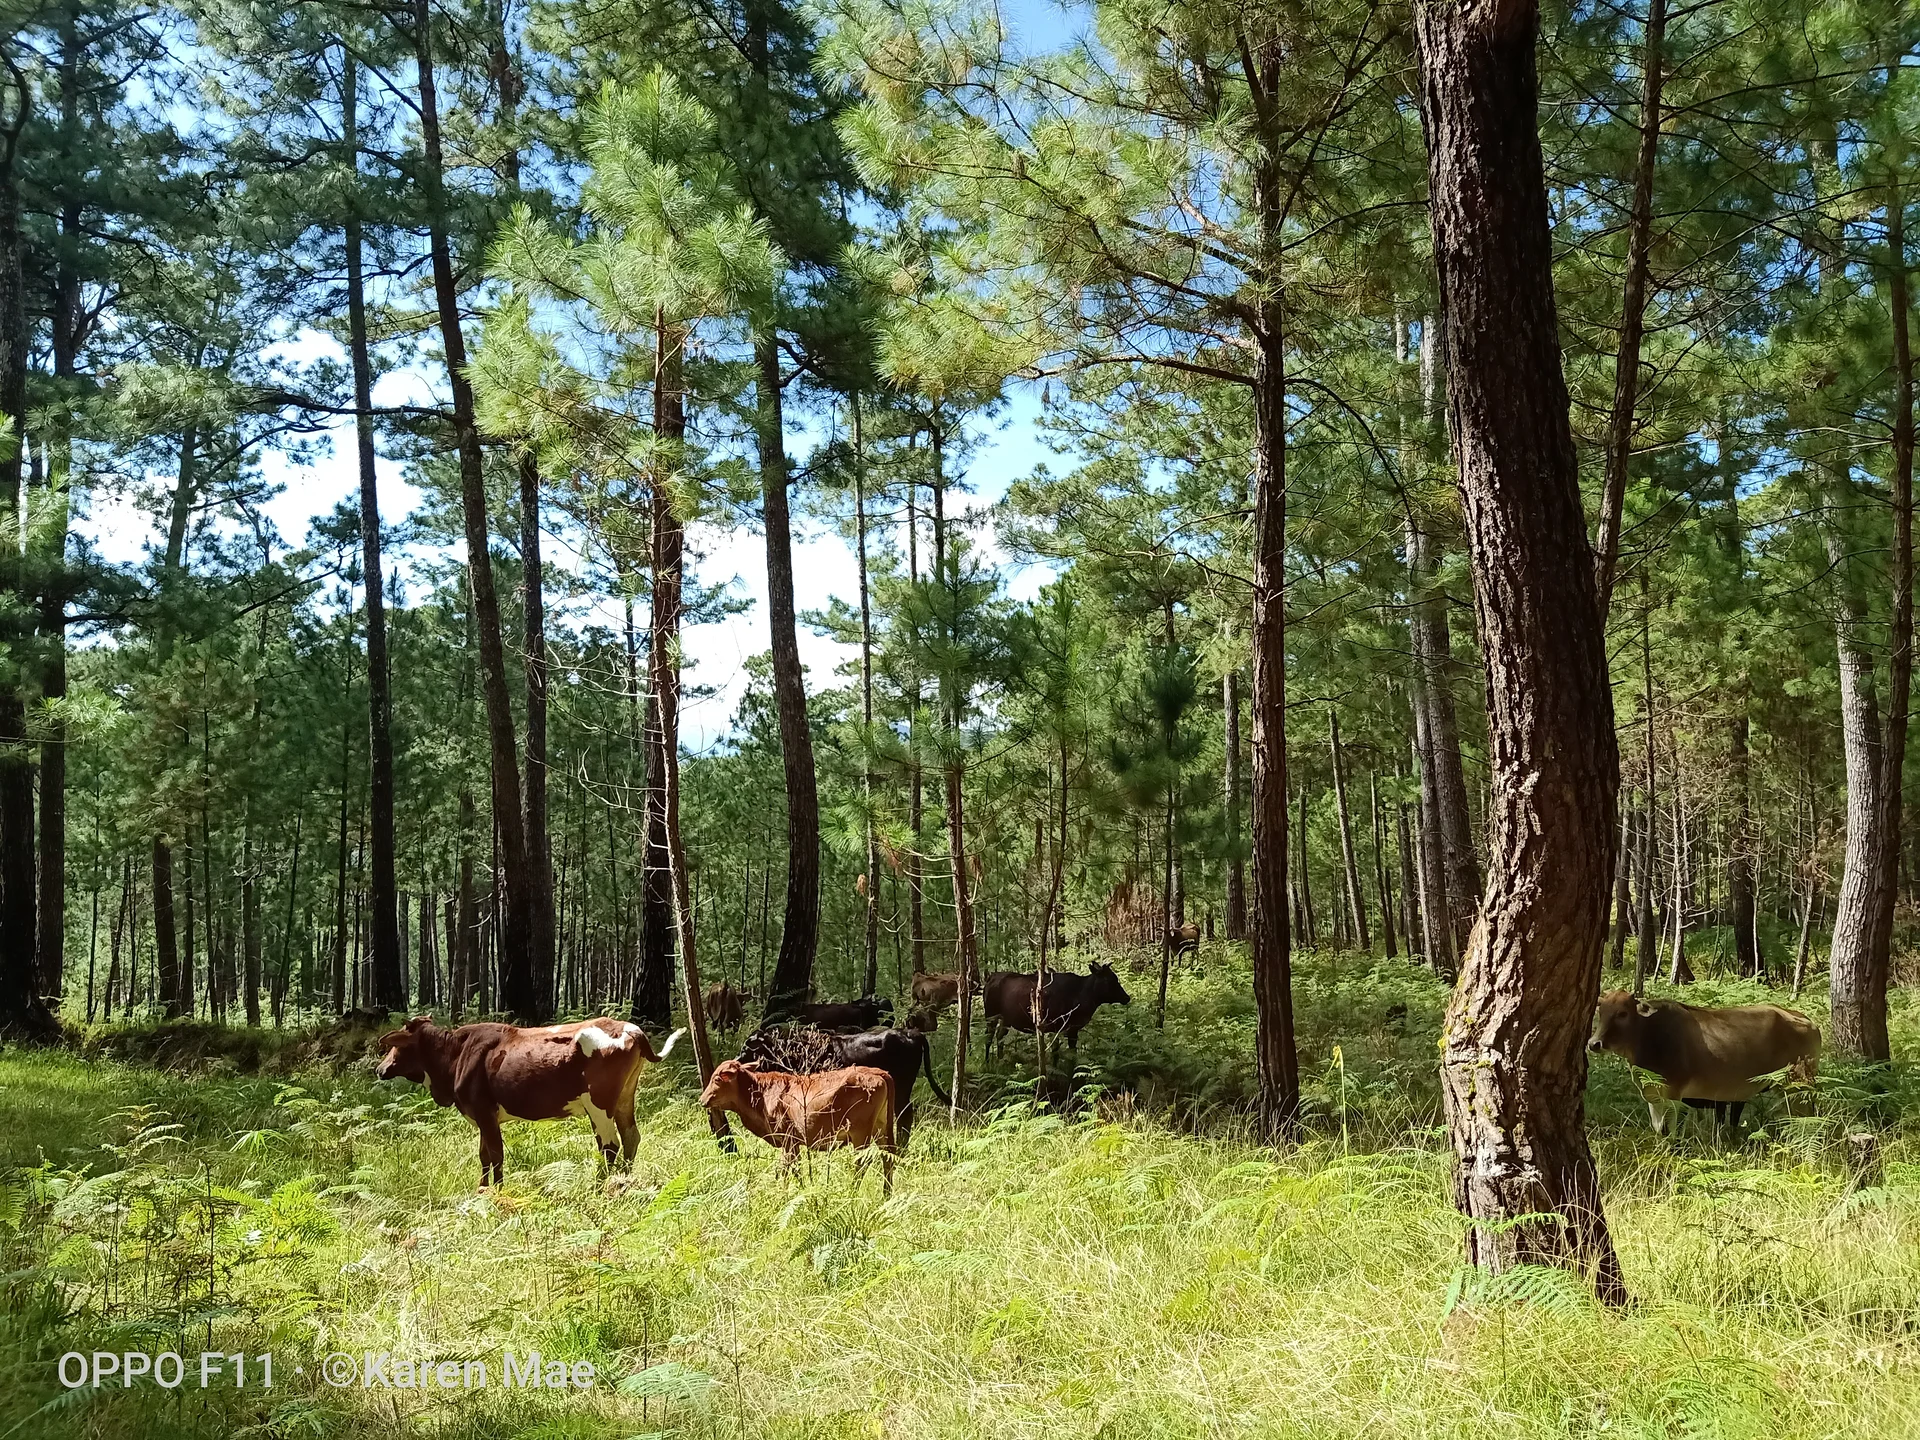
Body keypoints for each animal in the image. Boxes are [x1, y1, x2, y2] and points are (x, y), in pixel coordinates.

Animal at [375, 1016, 684, 1185]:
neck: (454, 1056)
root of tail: (629, 1028)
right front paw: (481, 1190)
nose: (380, 1068)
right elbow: (484, 1155)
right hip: (623, 1098)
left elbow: (495, 1155)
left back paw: (599, 1186)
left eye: (396, 1047)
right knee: (630, 1137)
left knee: (609, 1145)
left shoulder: (483, 1111)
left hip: (599, 1104)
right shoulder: (481, 1116)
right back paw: (623, 1180)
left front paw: (497, 1193)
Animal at [698, 1060, 897, 1193]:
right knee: (888, 1157)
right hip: (881, 1128)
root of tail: (879, 1072)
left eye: (717, 1079)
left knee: (863, 1161)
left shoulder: (788, 1139)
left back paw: (852, 1191)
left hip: (860, 1131)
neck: (762, 1097)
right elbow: (795, 1168)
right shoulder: (794, 1143)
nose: (702, 1100)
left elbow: (786, 1169)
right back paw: (886, 1194)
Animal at [981, 962, 1132, 1062]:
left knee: (1000, 1037)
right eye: (1109, 979)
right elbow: (1059, 1053)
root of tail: (990, 978)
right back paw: (987, 1062)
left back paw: (1000, 1060)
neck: (1083, 995)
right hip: (990, 1015)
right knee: (988, 1037)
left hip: (1006, 1019)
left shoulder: (1069, 1028)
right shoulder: (1060, 1026)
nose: (1127, 997)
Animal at [1588, 990, 1820, 1136]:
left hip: (1797, 1087)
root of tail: (1808, 1020)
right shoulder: (1654, 1098)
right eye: (1601, 1011)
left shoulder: (1675, 1097)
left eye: (1622, 1013)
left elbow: (1671, 1134)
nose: (1594, 1043)